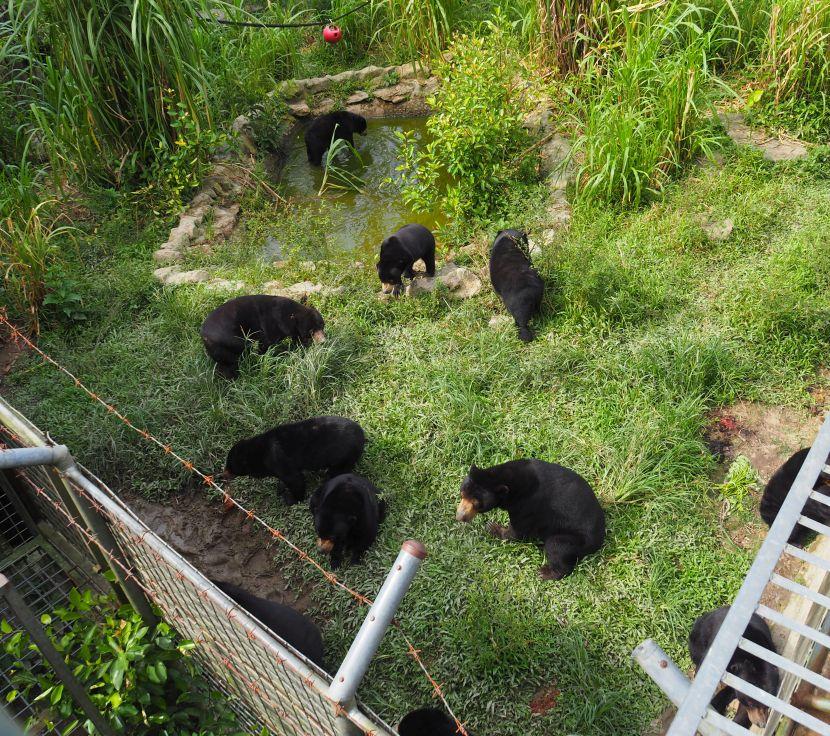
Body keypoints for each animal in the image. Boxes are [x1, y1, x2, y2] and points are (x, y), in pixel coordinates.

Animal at [223, 414, 366, 506]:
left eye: (230, 467)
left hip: (345, 456)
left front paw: (291, 499)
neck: (257, 453)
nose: (223, 475)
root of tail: (362, 435)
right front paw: (281, 487)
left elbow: (295, 480)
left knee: (336, 472)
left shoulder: (278, 461)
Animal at [458, 460, 608, 580]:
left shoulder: (528, 505)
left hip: (574, 539)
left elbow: (519, 531)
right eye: (462, 494)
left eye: (477, 504)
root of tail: (599, 541)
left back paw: (545, 572)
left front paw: (493, 527)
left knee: (556, 546)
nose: (460, 517)